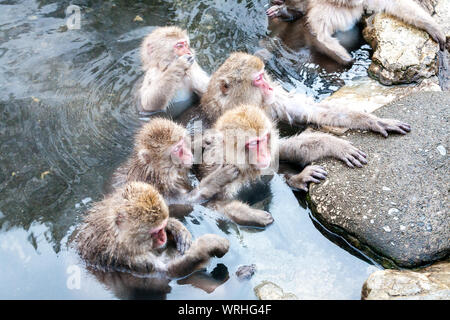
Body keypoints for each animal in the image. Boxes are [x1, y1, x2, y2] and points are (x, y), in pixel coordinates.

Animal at [76, 181, 229, 276]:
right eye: (155, 232)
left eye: (161, 228)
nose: (163, 237)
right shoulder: (124, 257)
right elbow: (168, 271)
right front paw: (210, 243)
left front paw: (176, 228)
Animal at [111, 117, 239, 205]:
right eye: (177, 149)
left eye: (182, 142)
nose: (188, 154)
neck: (157, 175)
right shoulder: (157, 193)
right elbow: (187, 202)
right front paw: (218, 177)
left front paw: (204, 141)